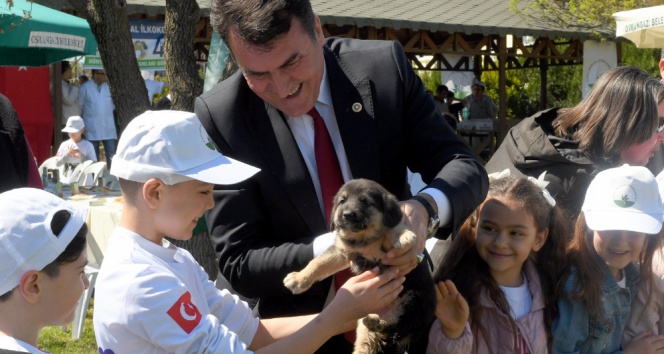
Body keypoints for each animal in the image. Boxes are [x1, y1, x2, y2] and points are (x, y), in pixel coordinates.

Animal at [284, 180, 436, 354]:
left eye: (366, 202)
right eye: (342, 201)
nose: (347, 214)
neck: (363, 240)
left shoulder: (387, 252)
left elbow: (391, 227)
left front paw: (403, 235)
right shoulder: (342, 252)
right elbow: (318, 263)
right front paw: (298, 279)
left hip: (412, 302)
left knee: (395, 330)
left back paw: (379, 325)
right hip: (368, 323)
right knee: (372, 342)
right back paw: (373, 327)